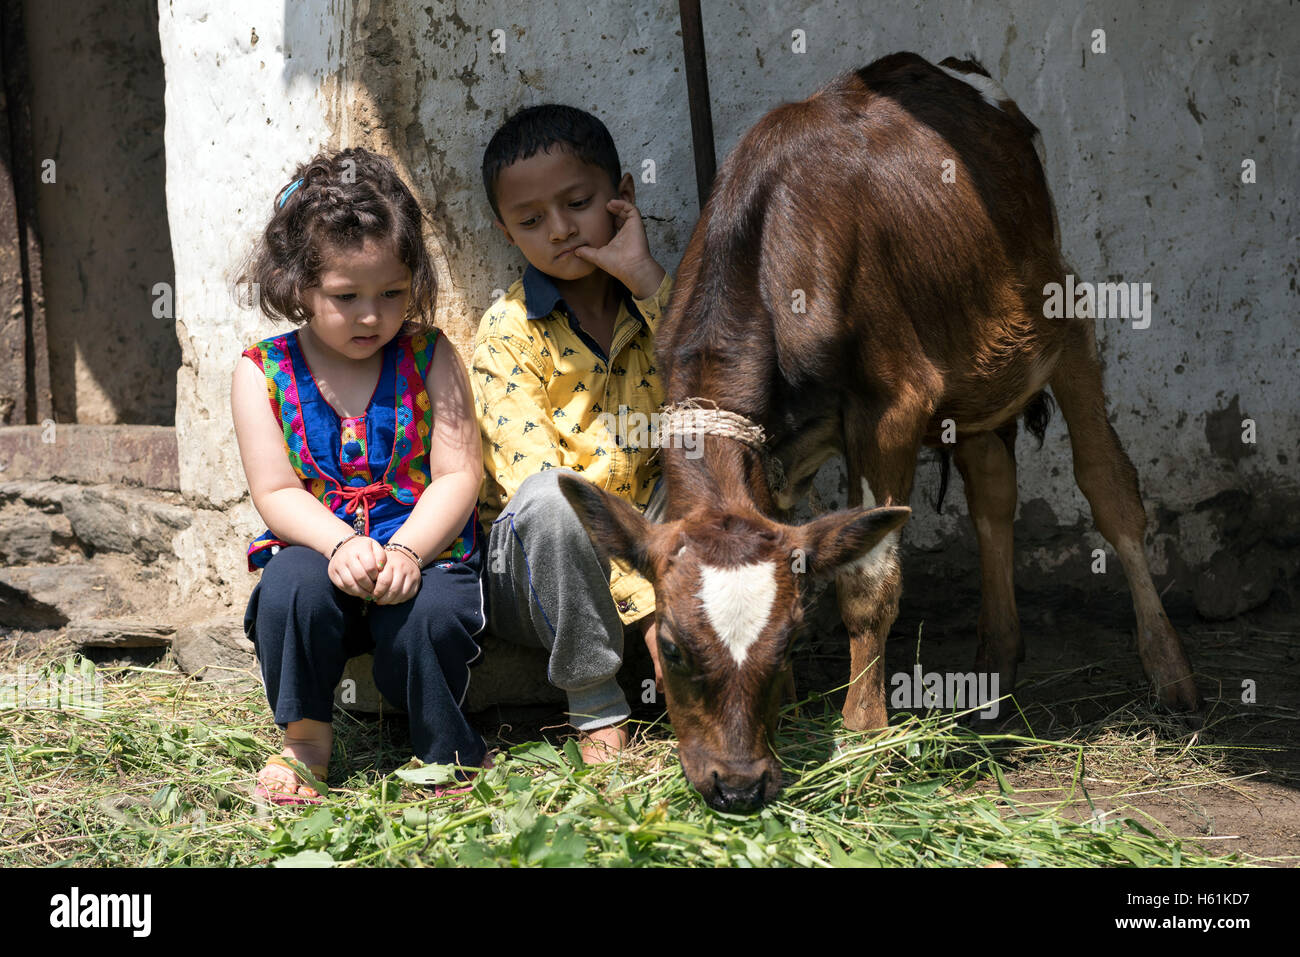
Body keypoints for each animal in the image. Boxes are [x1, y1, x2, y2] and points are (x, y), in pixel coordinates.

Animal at [556, 52, 1196, 811]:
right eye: (673, 647)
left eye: (790, 642)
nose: (736, 785)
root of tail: (944, 67)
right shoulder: (772, 456)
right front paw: (793, 710)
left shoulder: (892, 405)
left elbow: (868, 583)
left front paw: (864, 737)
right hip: (976, 366)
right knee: (992, 495)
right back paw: (995, 665)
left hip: (1062, 317)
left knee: (1110, 489)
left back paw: (1170, 672)